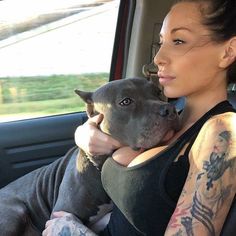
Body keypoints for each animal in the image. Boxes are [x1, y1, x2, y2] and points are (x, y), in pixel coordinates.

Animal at [0, 77, 179, 234]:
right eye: (126, 101)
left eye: (158, 92)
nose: (169, 109)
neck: (99, 167)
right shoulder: (60, 213)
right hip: (15, 211)